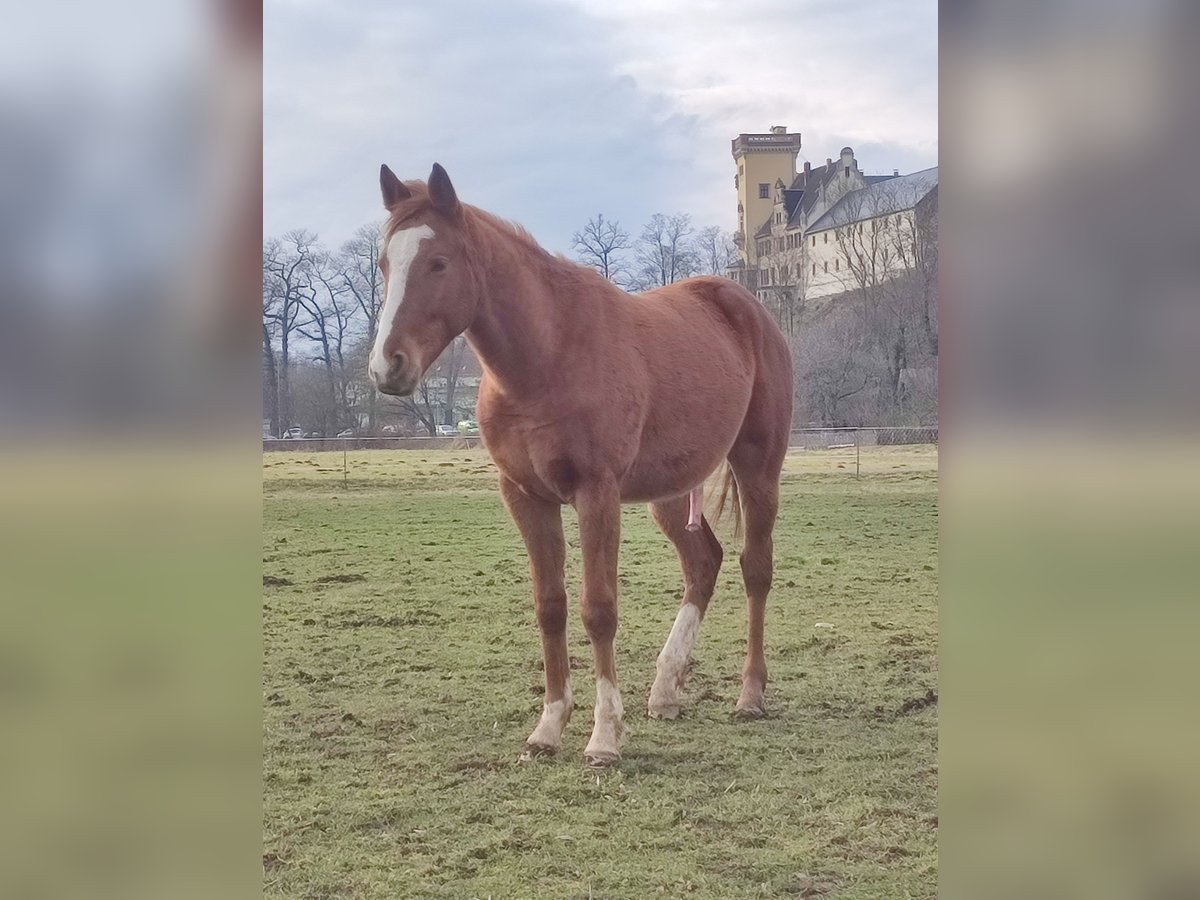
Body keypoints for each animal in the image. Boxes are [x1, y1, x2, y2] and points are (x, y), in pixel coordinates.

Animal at [369, 162, 792, 768]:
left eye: (438, 262)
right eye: (385, 263)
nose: (387, 366)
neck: (545, 359)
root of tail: (746, 304)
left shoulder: (596, 494)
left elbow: (599, 609)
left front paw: (604, 736)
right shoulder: (526, 496)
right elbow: (551, 606)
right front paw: (548, 728)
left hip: (758, 469)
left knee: (755, 568)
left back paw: (750, 695)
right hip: (669, 492)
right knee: (703, 565)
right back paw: (664, 691)